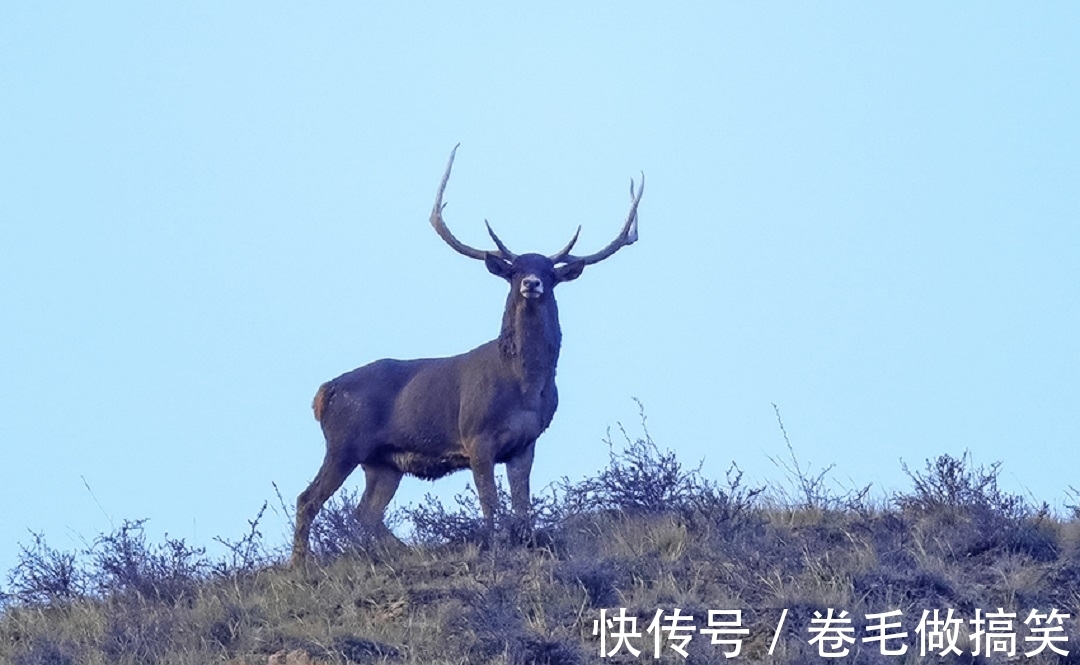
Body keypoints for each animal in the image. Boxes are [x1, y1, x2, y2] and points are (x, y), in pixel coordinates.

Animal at [291, 147, 639, 565]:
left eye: (549, 273)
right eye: (515, 270)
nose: (532, 283)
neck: (524, 387)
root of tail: (323, 393)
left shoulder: (526, 443)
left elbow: (522, 507)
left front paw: (523, 543)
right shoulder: (476, 436)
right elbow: (490, 504)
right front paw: (495, 548)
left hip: (383, 461)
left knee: (366, 513)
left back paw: (403, 551)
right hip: (344, 441)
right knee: (307, 499)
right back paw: (298, 565)